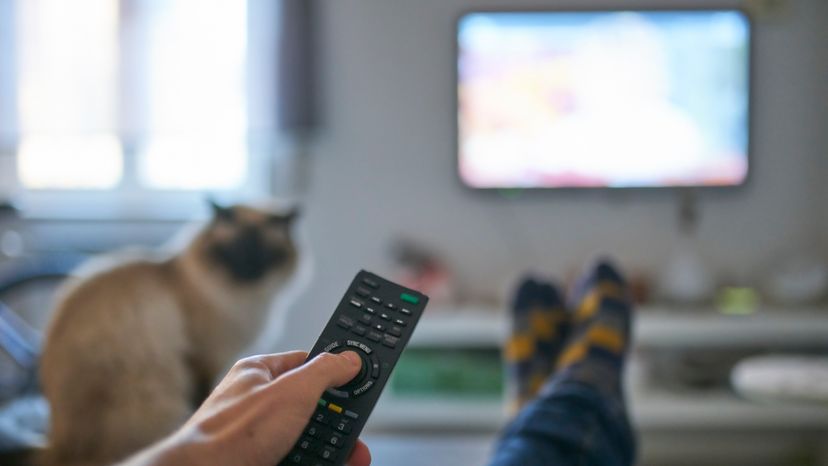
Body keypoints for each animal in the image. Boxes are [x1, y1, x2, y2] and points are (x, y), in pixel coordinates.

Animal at [39, 203, 298, 466]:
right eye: (232, 252)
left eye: (265, 255)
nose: (248, 271)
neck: (243, 300)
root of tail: (55, 443)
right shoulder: (202, 359)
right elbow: (202, 396)